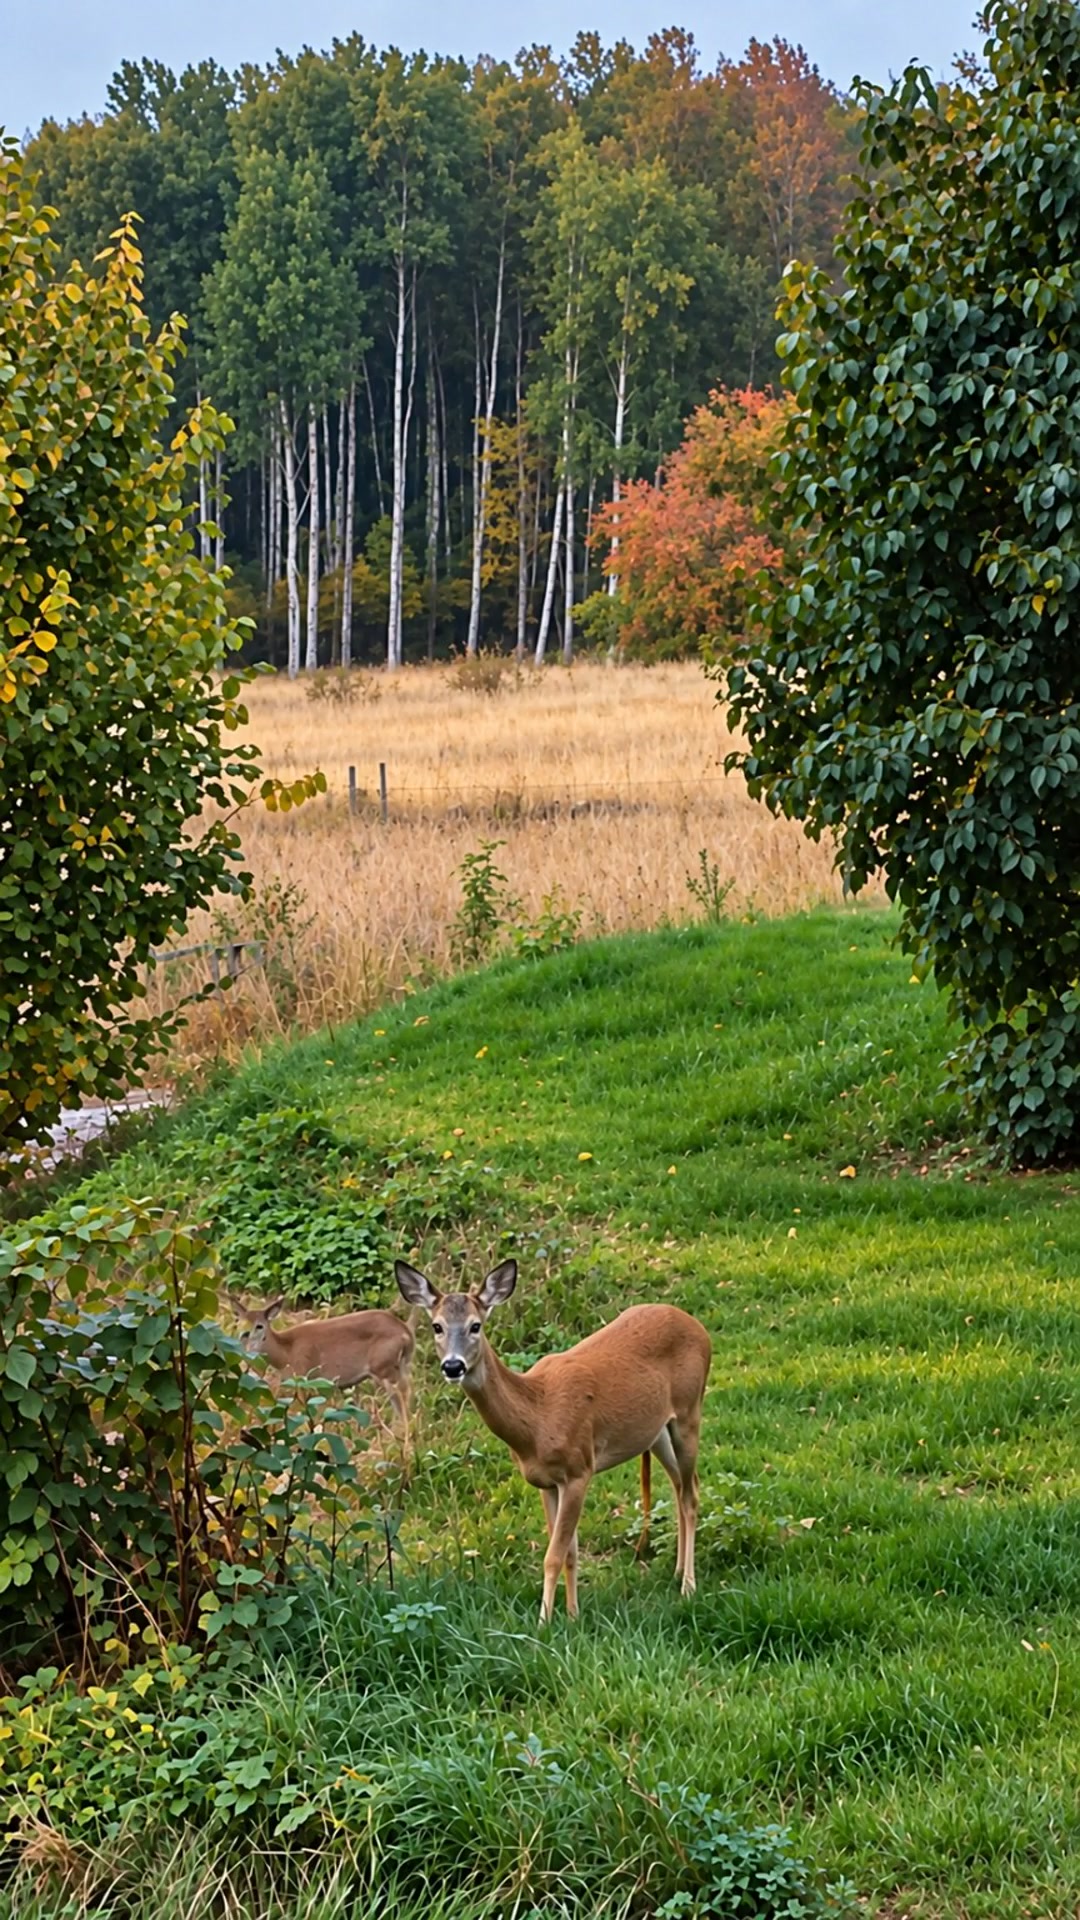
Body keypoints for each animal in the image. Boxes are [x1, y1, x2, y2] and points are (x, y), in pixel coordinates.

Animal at [232, 1296, 416, 1458]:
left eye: (259, 1326)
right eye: (239, 1322)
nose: (243, 1336)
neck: (286, 1352)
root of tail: (407, 1333)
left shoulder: (306, 1378)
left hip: (384, 1369)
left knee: (403, 1399)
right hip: (399, 1367)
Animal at [395, 1258, 711, 1623]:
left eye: (476, 1326)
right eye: (437, 1326)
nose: (453, 1366)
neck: (537, 1418)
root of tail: (698, 1326)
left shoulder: (579, 1469)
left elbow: (553, 1555)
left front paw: (544, 1622)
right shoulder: (545, 1483)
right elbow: (569, 1552)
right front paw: (572, 1614)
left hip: (690, 1409)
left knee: (690, 1495)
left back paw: (688, 1586)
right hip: (655, 1430)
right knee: (681, 1485)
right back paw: (677, 1571)